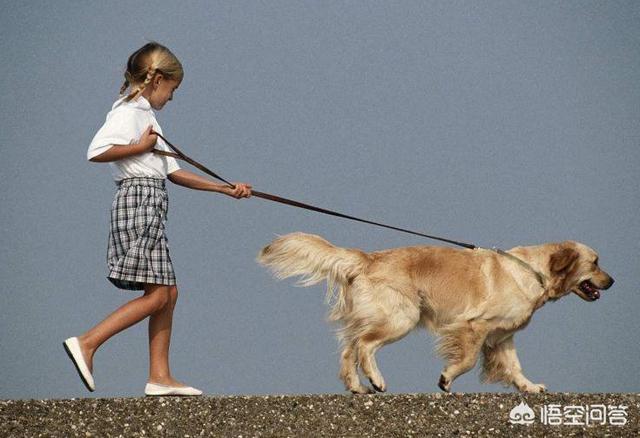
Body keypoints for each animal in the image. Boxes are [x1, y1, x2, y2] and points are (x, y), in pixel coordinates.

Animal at [258, 233, 616, 394]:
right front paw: (447, 378)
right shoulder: (474, 325)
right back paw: (376, 379)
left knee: (350, 347)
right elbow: (467, 360)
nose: (612, 281)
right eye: (596, 262)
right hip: (402, 317)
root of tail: (369, 258)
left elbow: (514, 366)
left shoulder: (502, 337)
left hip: (374, 316)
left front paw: (529, 387)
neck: (535, 272)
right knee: (364, 346)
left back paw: (357, 386)